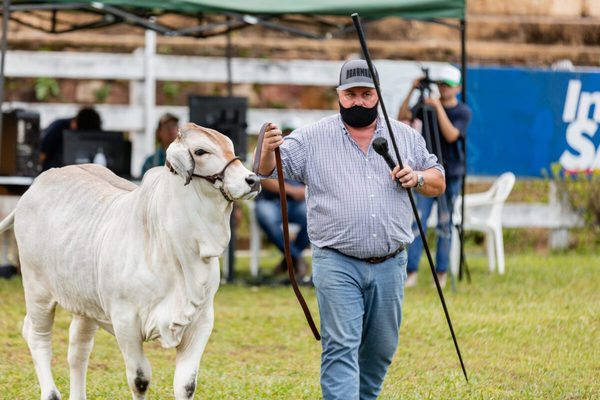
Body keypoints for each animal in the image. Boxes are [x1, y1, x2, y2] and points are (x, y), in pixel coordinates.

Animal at [1, 123, 262, 398]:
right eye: (201, 151)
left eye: (230, 145)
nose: (252, 180)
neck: (175, 249)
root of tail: (38, 183)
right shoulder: (125, 321)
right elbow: (140, 379)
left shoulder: (201, 321)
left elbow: (186, 383)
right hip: (36, 289)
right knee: (37, 335)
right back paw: (50, 392)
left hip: (84, 303)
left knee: (78, 349)